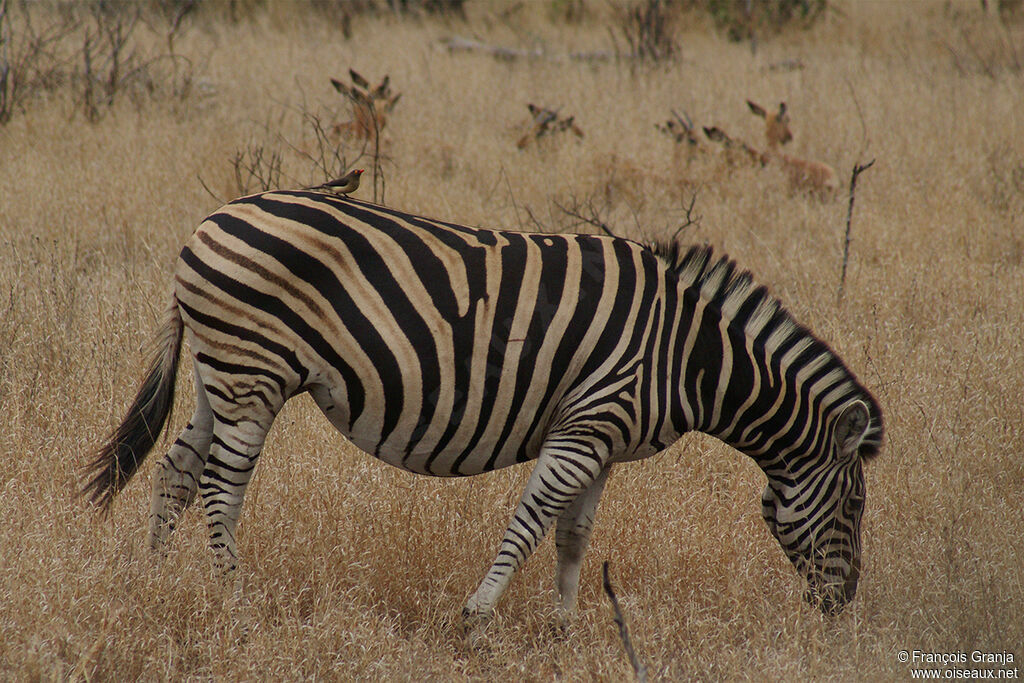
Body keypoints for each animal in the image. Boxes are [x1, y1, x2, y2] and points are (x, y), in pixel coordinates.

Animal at [81, 189, 880, 626]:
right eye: (855, 507)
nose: (844, 607)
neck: (688, 355)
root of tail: (212, 218)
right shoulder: (587, 424)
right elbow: (529, 523)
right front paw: (477, 616)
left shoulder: (601, 437)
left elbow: (574, 536)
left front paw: (563, 630)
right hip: (253, 373)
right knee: (222, 485)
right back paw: (233, 599)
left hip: (222, 372)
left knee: (179, 468)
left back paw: (155, 579)